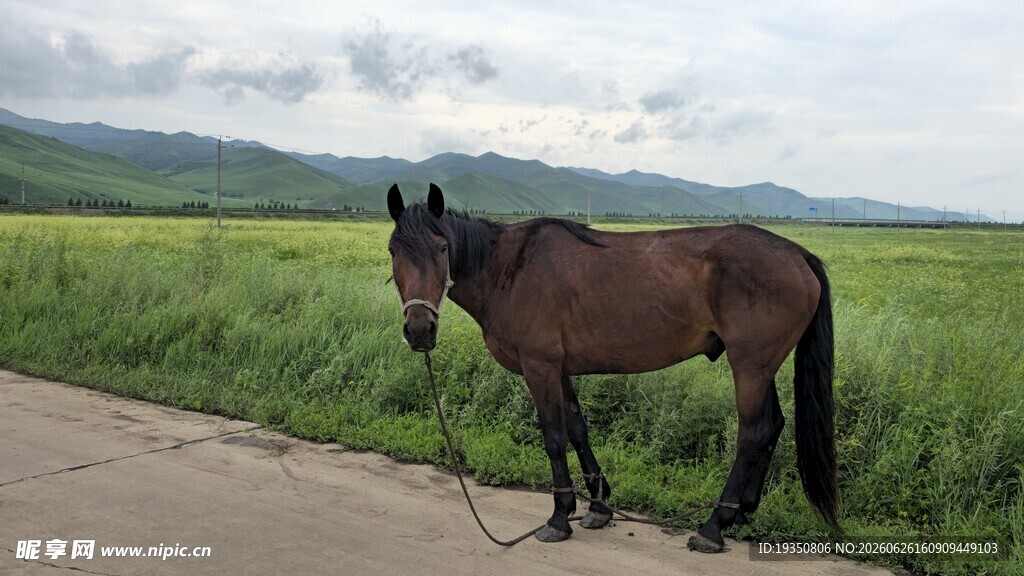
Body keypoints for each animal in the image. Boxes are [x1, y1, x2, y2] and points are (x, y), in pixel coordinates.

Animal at [385, 183, 839, 552]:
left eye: (442, 249)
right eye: (394, 251)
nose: (420, 330)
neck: (509, 269)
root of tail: (798, 254)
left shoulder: (539, 367)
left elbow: (553, 437)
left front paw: (559, 516)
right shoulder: (560, 368)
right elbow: (577, 430)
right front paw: (598, 506)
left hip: (749, 365)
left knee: (753, 433)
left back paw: (713, 526)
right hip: (762, 367)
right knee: (773, 426)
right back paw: (740, 512)